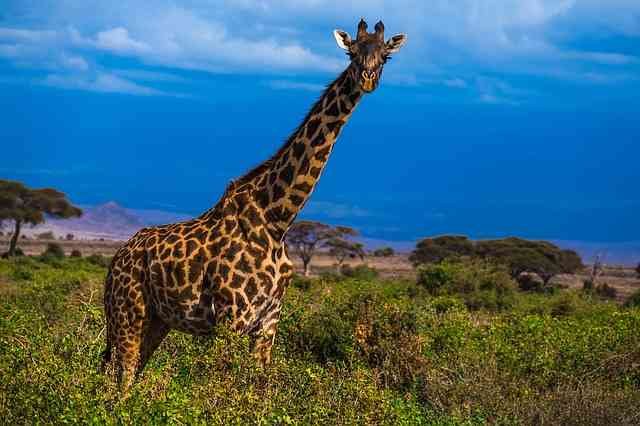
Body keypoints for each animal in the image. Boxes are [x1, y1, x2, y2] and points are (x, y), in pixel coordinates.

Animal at [102, 19, 407, 391]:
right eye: (351, 53)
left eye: (385, 56)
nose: (367, 78)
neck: (278, 217)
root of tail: (117, 258)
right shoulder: (231, 316)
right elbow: (221, 387)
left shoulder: (268, 320)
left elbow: (259, 387)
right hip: (128, 310)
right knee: (121, 374)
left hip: (158, 319)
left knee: (124, 371)